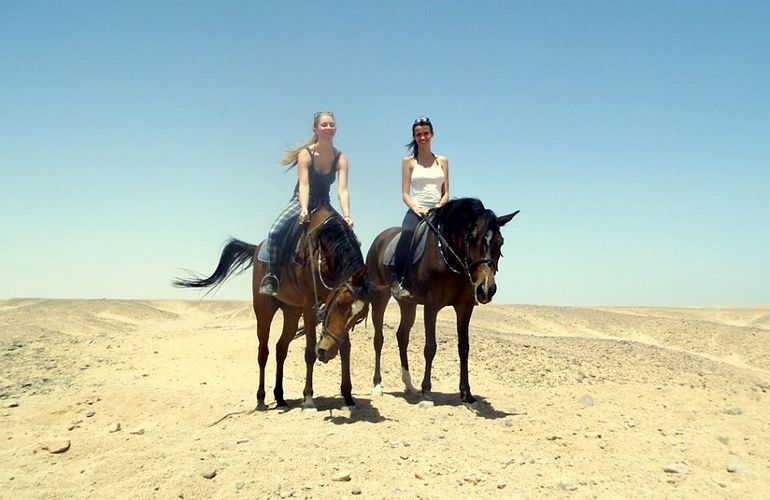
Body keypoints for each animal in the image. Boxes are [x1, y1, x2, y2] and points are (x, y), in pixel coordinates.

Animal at [174, 205, 368, 412]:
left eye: (358, 318)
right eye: (339, 304)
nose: (325, 353)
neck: (324, 251)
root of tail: (257, 249)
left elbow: (345, 349)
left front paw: (347, 396)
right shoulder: (310, 306)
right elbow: (309, 352)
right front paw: (308, 398)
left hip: (292, 311)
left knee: (280, 348)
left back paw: (280, 397)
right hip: (264, 310)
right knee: (263, 351)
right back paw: (261, 399)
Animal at [364, 197, 516, 404]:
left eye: (500, 243)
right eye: (473, 238)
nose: (486, 289)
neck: (449, 257)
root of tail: (380, 239)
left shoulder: (464, 307)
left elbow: (464, 348)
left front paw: (467, 393)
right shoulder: (431, 305)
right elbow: (430, 347)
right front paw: (427, 392)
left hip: (408, 304)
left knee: (402, 336)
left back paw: (409, 385)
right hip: (379, 296)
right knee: (379, 338)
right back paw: (378, 385)